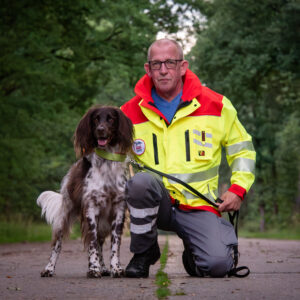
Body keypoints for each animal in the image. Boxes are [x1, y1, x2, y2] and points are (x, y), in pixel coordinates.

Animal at [36, 105, 132, 278]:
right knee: (57, 245)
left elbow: (115, 244)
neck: (106, 164)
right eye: (96, 119)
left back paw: (104, 268)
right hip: (65, 215)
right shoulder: (91, 207)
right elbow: (92, 242)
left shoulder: (119, 209)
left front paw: (115, 268)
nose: (100, 130)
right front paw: (93, 269)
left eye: (111, 119)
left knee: (100, 242)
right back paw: (49, 268)